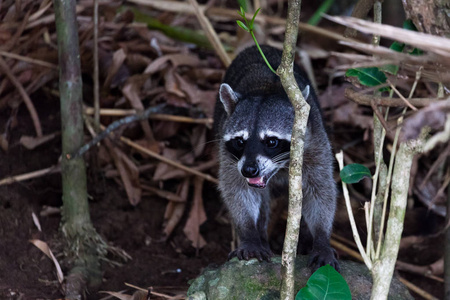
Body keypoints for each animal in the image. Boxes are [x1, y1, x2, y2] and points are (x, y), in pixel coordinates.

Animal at [214, 45, 338, 272]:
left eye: (271, 141)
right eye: (240, 141)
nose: (249, 170)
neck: (267, 90)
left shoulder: (315, 143)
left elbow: (321, 190)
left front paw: (321, 238)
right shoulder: (228, 155)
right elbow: (237, 190)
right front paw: (249, 233)